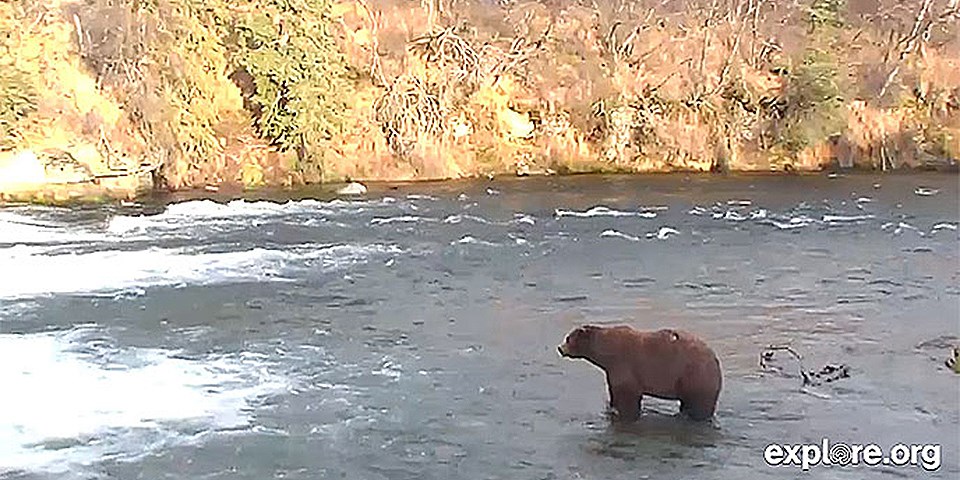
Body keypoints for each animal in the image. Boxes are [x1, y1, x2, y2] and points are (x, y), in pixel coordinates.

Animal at [560, 324, 724, 422]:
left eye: (568, 338)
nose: (560, 348)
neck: (606, 354)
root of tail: (715, 359)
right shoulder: (612, 370)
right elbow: (614, 391)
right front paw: (612, 408)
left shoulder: (624, 364)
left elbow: (627, 395)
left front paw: (623, 412)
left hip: (695, 376)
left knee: (699, 404)